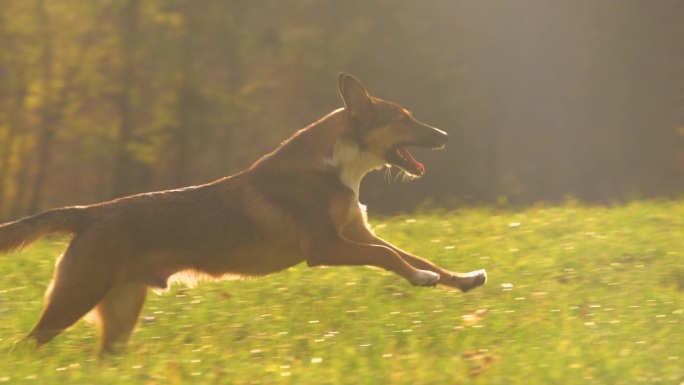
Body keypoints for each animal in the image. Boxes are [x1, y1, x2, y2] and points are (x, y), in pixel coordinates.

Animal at [0, 73, 486, 354]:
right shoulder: (326, 246)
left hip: (119, 310)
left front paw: (462, 279)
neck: (336, 164)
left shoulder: (358, 233)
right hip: (77, 295)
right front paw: (421, 279)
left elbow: (413, 256)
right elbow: (392, 259)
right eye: (404, 119)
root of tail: (88, 213)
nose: (445, 136)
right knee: (27, 345)